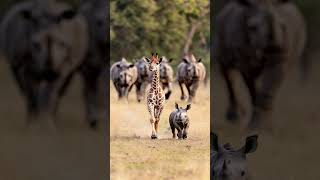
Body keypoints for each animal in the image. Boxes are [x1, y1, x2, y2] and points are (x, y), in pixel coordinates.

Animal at [214, 0, 306, 129]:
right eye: (252, 28)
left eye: (283, 26)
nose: (274, 48)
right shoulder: (245, 61)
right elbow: (252, 88)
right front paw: (254, 125)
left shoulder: (280, 60)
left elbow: (269, 90)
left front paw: (267, 126)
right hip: (220, 33)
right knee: (227, 71)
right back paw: (234, 118)